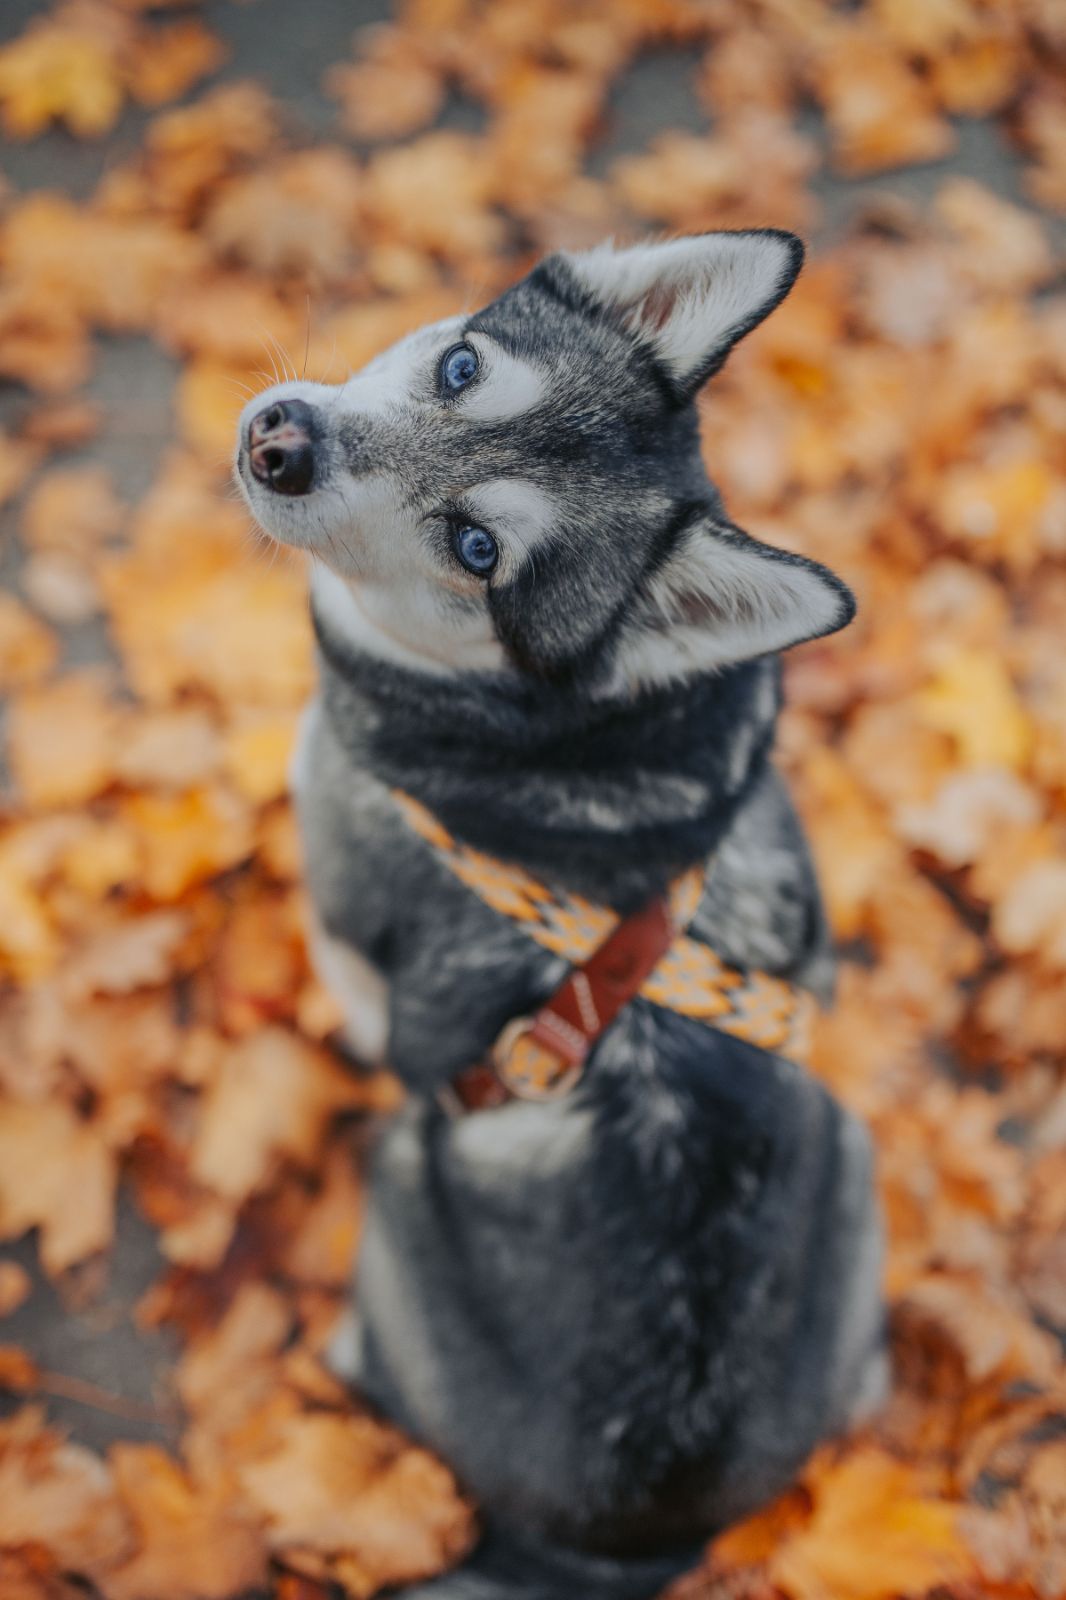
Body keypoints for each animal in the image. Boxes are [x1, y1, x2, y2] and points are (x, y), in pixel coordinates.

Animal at [236, 228, 883, 1600]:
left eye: (478, 548)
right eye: (461, 365)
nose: (280, 440)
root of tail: (622, 1548)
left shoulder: (355, 944)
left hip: (400, 1193)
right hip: (850, 1154)